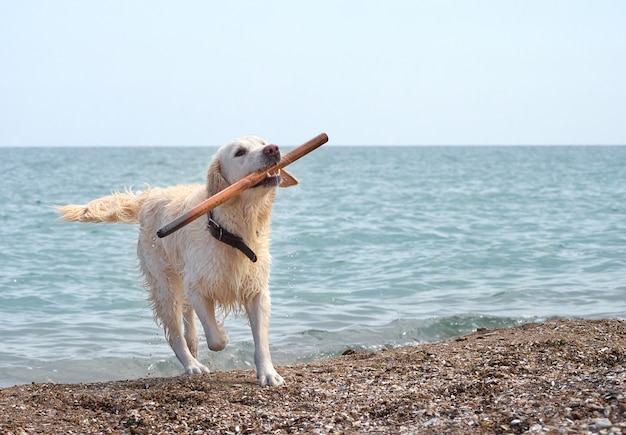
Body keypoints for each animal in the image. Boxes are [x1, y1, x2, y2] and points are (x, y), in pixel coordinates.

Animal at [56, 137, 290, 388]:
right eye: (240, 152)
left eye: (262, 142)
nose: (273, 149)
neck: (229, 230)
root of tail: (150, 197)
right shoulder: (196, 287)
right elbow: (216, 339)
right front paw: (223, 335)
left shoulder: (257, 290)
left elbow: (261, 339)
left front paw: (268, 373)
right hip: (164, 285)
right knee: (175, 333)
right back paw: (192, 364)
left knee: (187, 320)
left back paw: (193, 346)